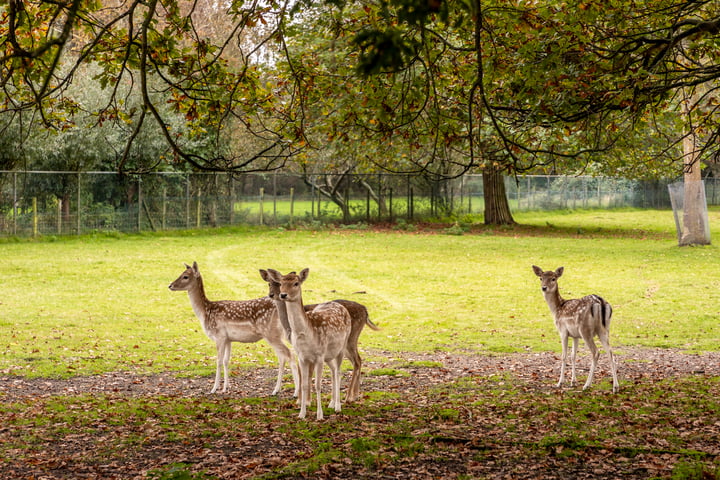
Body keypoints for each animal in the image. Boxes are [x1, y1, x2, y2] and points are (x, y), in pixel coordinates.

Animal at [169, 264, 298, 396]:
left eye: (185, 276)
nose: (170, 285)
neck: (205, 313)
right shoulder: (228, 339)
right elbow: (226, 361)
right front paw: (225, 388)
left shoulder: (219, 336)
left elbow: (219, 361)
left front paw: (214, 389)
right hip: (277, 334)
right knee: (283, 357)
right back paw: (277, 390)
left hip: (271, 333)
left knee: (290, 354)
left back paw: (295, 392)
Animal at [260, 268, 382, 404]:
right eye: (270, 283)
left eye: (295, 283)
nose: (275, 295)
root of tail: (365, 311)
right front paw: (301, 400)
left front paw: (304, 400)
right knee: (358, 360)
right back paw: (354, 395)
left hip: (351, 337)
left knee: (356, 361)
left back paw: (348, 397)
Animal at [264, 270, 354, 420]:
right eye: (281, 283)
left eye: (296, 283)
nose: (283, 295)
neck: (306, 333)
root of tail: (341, 306)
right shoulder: (302, 357)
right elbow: (304, 384)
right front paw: (301, 414)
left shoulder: (319, 355)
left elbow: (317, 385)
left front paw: (319, 415)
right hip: (329, 355)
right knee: (333, 369)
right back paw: (331, 403)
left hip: (342, 346)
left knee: (338, 372)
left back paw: (337, 407)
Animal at [528, 266, 620, 394]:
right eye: (541, 278)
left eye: (553, 278)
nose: (544, 287)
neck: (557, 309)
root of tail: (600, 302)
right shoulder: (575, 336)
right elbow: (573, 356)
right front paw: (573, 382)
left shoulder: (563, 331)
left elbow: (564, 356)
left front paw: (560, 383)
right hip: (605, 329)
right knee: (611, 352)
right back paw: (615, 387)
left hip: (585, 330)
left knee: (596, 352)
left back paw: (587, 385)